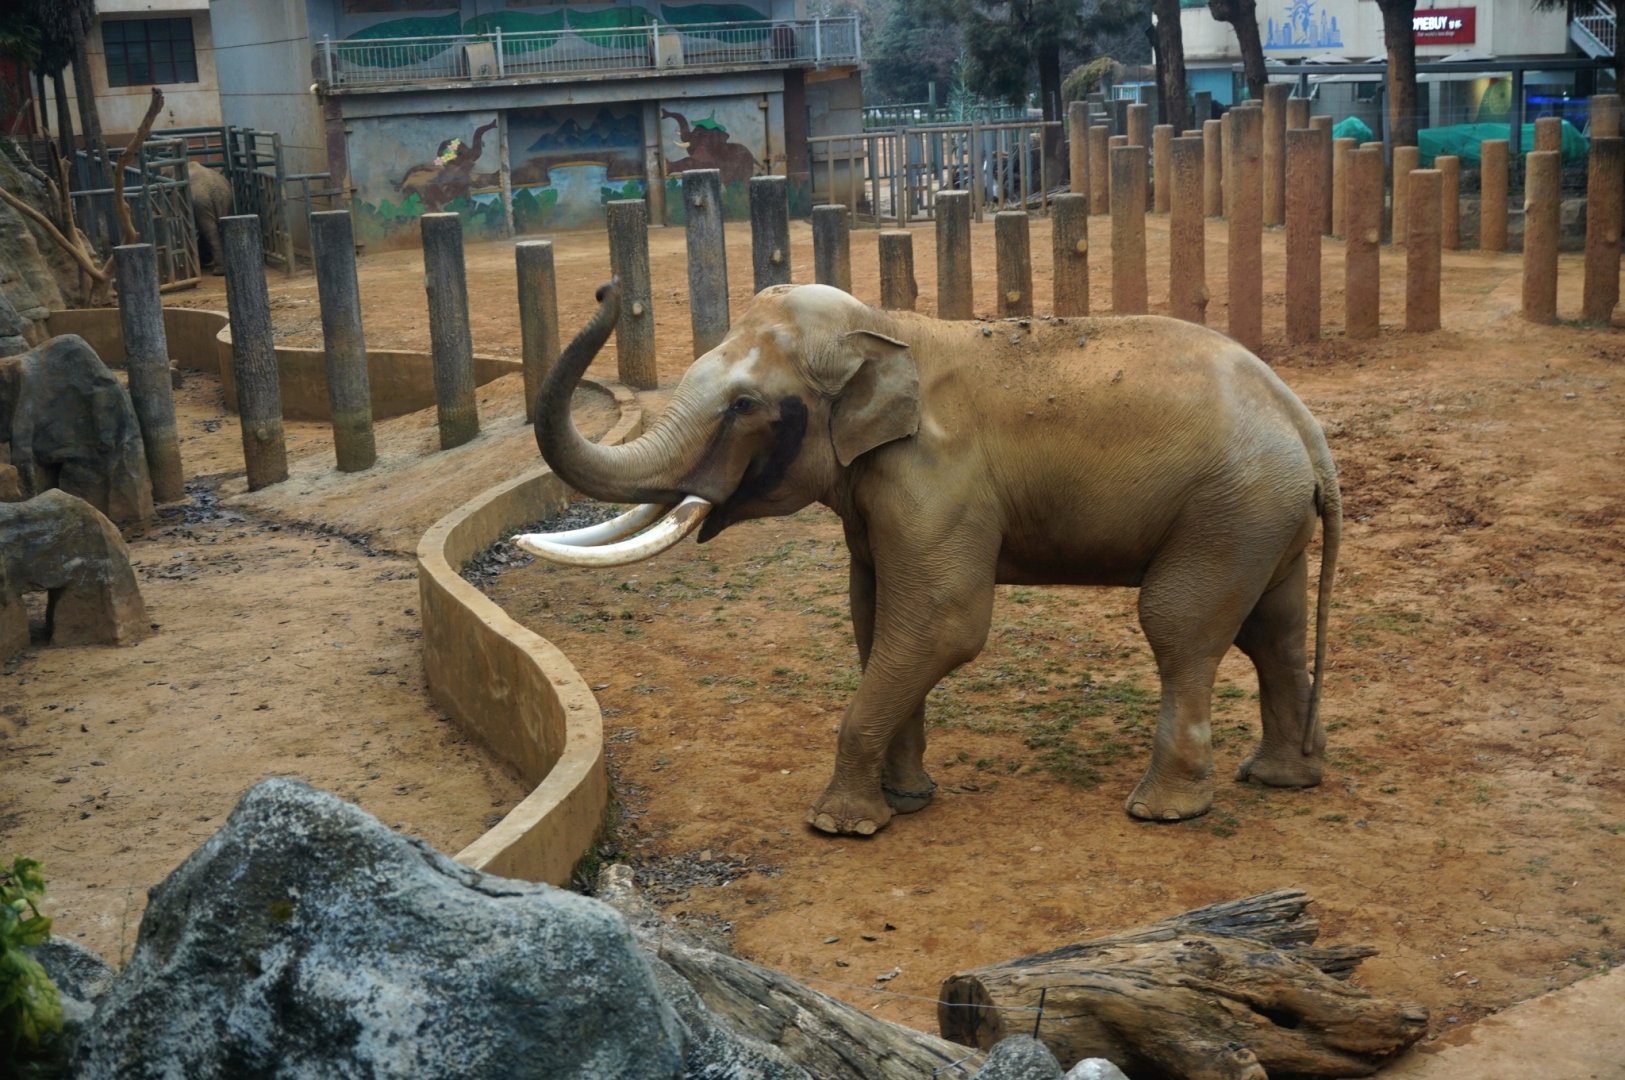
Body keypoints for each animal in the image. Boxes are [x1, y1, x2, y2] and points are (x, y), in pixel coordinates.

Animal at [520, 283, 1343, 837]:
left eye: (744, 406)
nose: (607, 290)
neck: (886, 330)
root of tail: (1303, 421)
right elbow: (876, 616)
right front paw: (906, 800)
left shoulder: (935, 478)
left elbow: (943, 622)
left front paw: (841, 826)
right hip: (1260, 515)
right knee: (1272, 629)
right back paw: (1281, 779)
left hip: (1229, 507)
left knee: (1178, 625)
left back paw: (1162, 811)